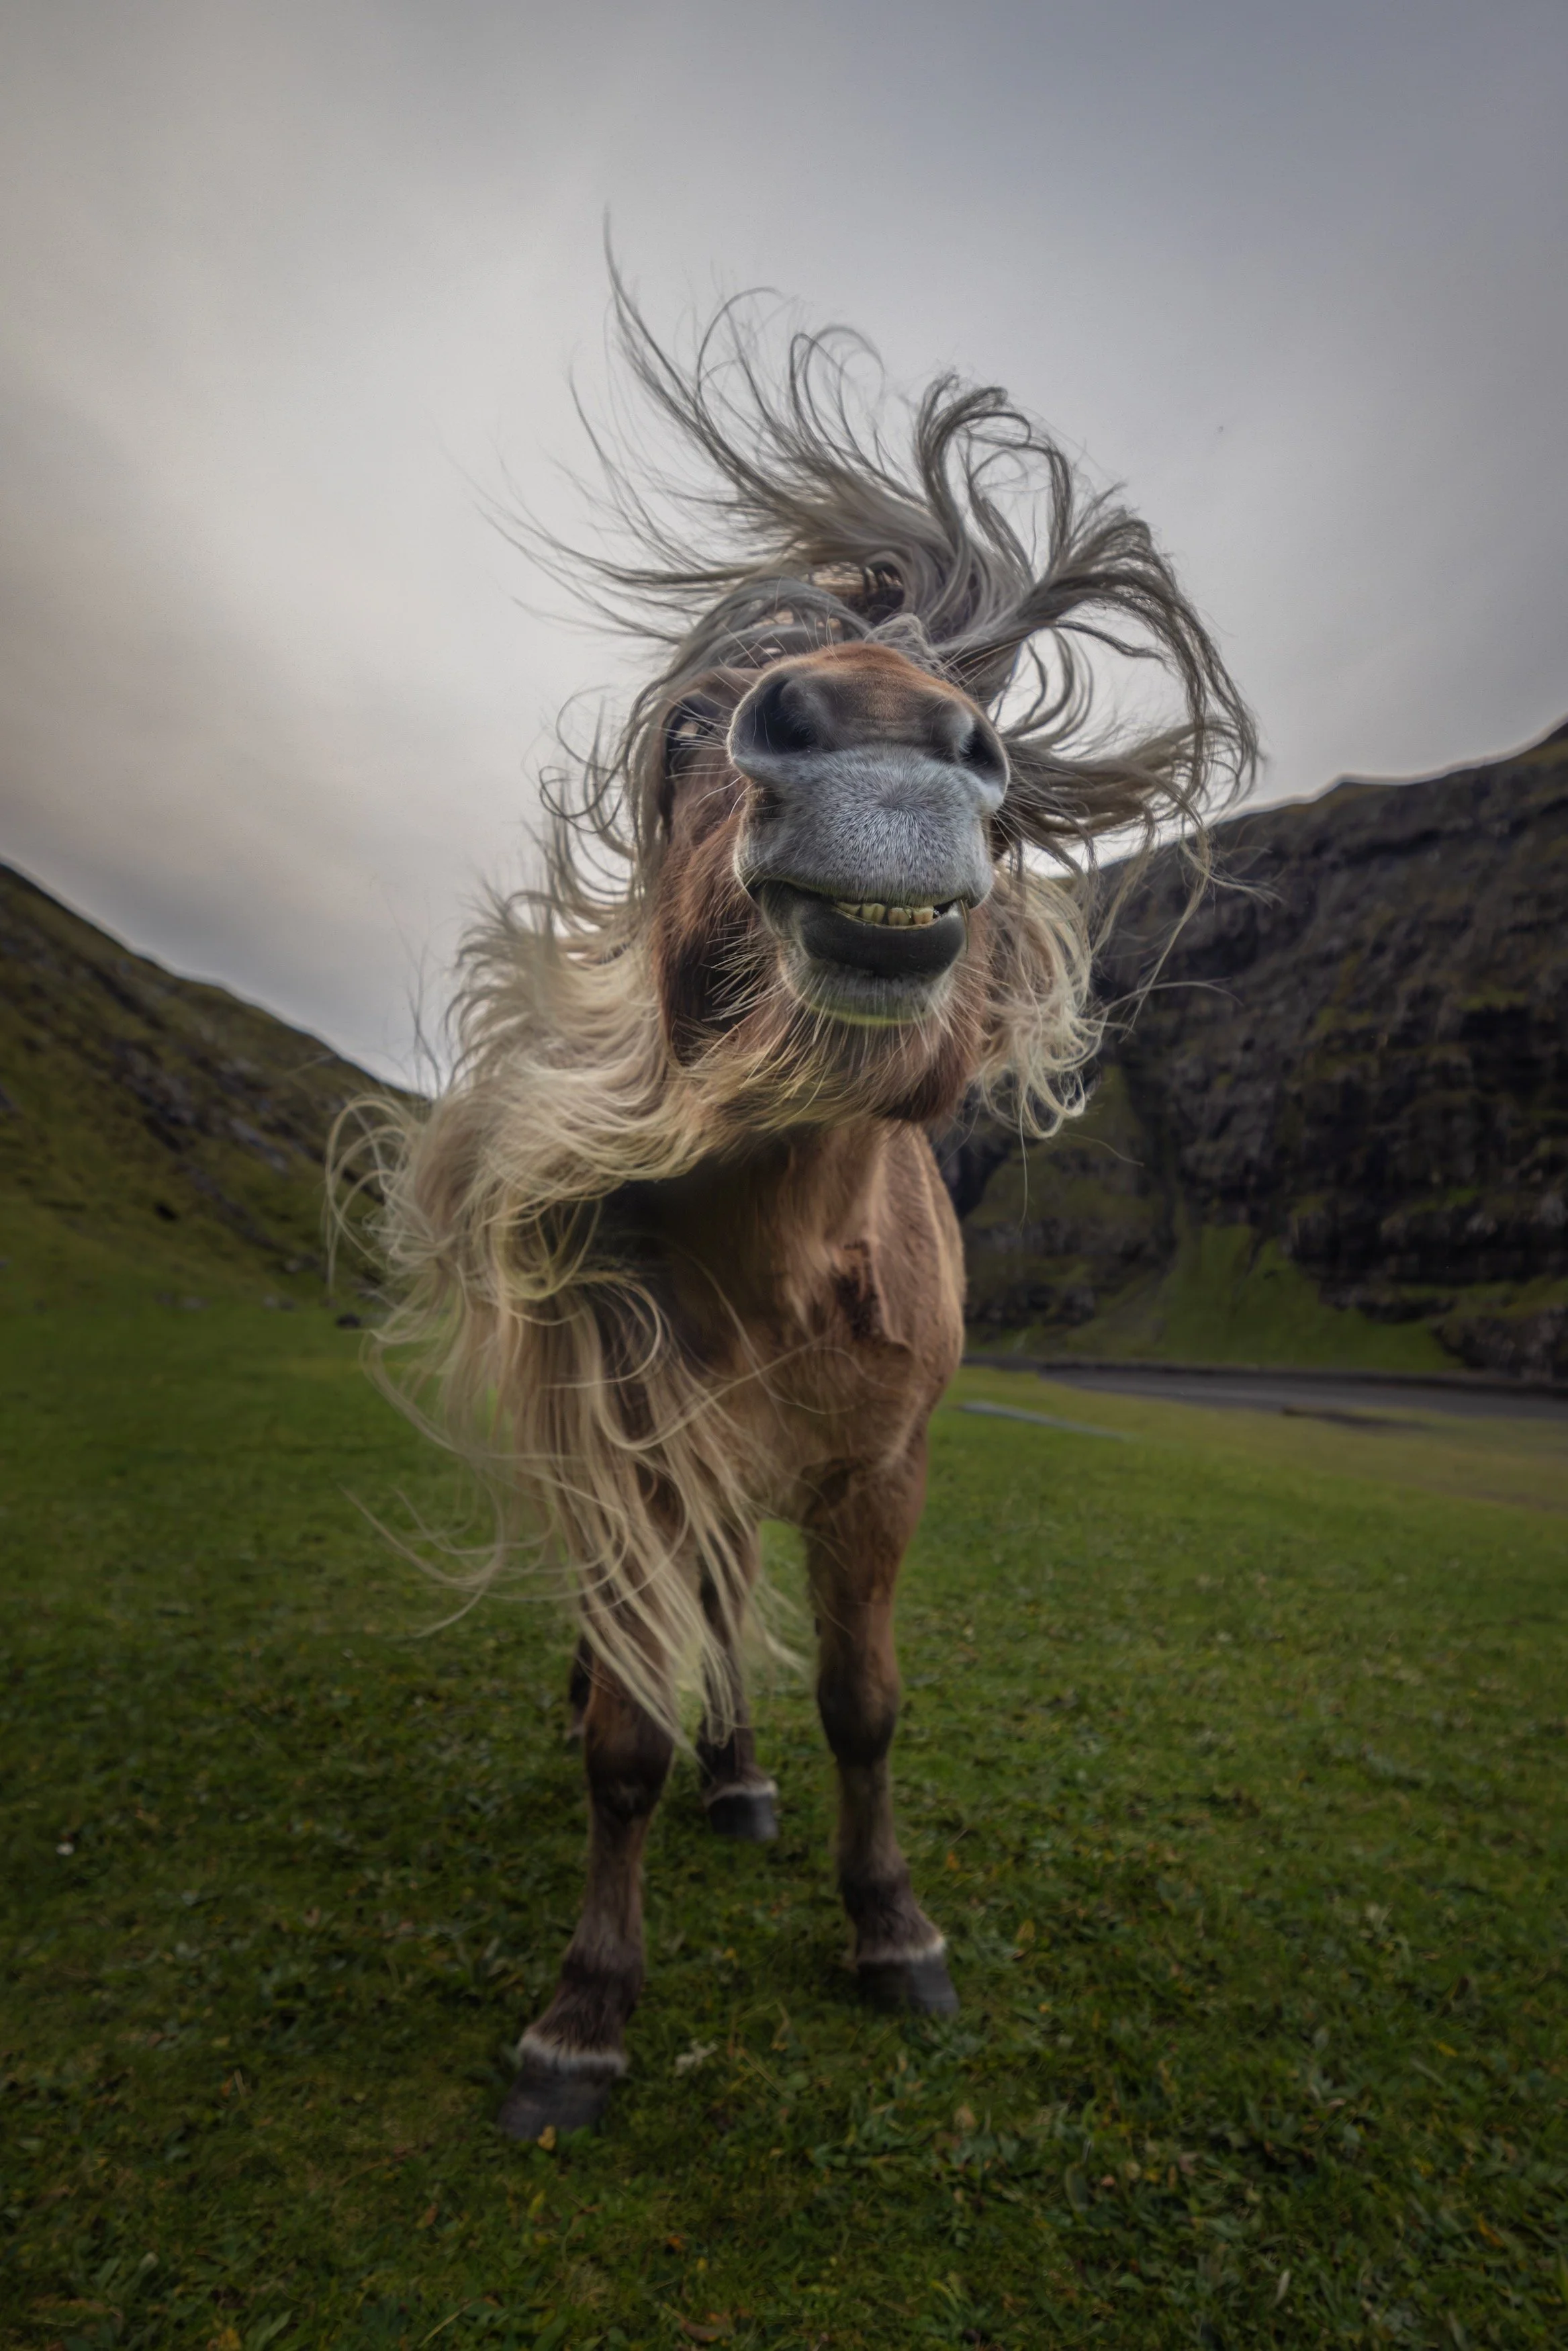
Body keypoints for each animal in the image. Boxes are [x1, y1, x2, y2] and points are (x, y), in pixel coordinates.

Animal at [350, 285, 1254, 2140]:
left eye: (969, 697)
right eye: (693, 728)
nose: (887, 746)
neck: (782, 1262)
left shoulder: (881, 1469)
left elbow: (863, 1703)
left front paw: (889, 1926)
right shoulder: (626, 1437)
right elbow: (626, 1730)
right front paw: (584, 2013)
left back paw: (747, 1785)